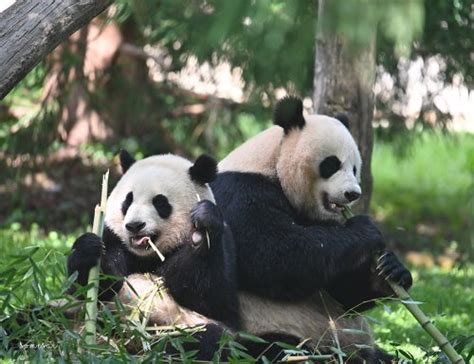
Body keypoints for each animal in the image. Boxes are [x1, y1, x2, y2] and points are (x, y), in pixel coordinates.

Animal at [66, 151, 241, 362]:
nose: (134, 225)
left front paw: (201, 230)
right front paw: (88, 250)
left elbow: (213, 298)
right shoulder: (114, 239)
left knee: (205, 339)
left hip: (187, 327)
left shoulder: (225, 245)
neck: (148, 255)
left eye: (160, 202)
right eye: (128, 200)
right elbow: (94, 288)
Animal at [209, 96, 412, 362]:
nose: (353, 194)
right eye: (332, 164)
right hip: (263, 330)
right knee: (275, 349)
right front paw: (366, 229)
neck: (273, 161)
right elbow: (276, 257)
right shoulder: (240, 194)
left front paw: (390, 270)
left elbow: (344, 292)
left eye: (355, 168)